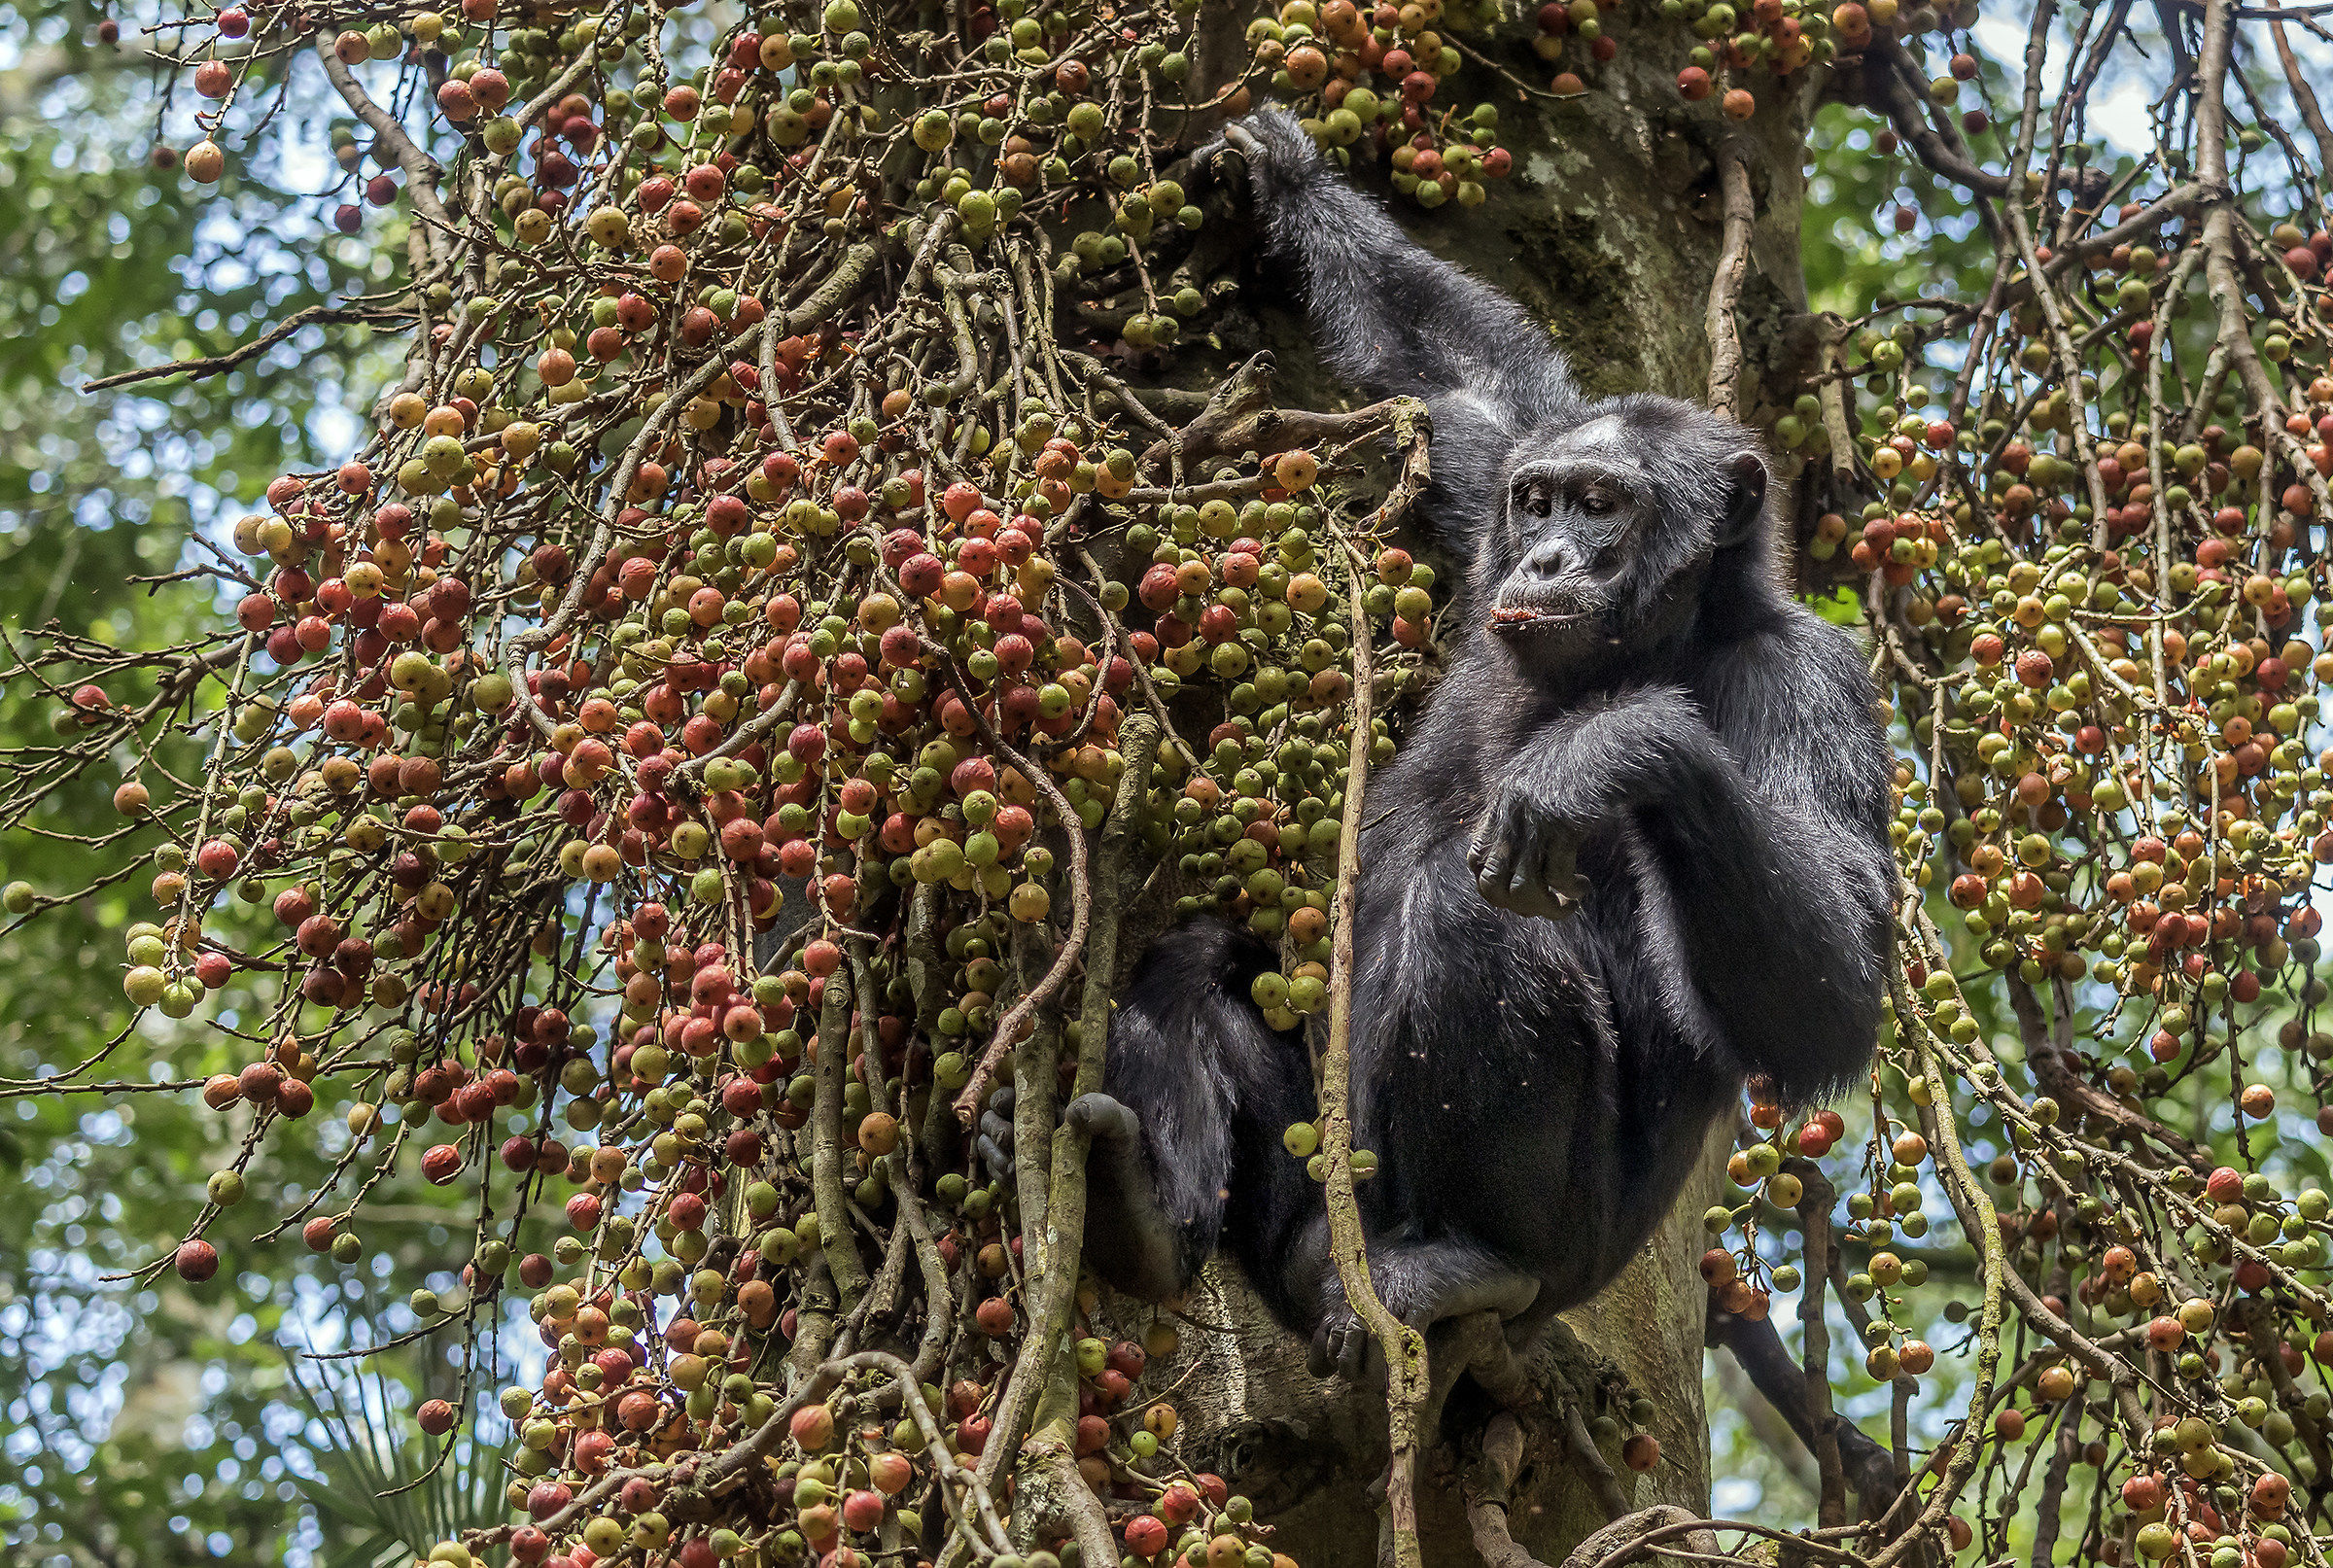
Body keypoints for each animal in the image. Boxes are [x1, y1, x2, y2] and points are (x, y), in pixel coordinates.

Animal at [1049, 106, 1903, 1501]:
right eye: (1541, 496)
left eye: (1605, 506)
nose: (1547, 554)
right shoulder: (1495, 457)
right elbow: (1475, 380)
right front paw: (1281, 174)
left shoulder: (1816, 683)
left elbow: (1833, 976)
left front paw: (1605, 752)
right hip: (1310, 1213)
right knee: (1206, 969)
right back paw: (1141, 1211)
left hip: (1564, 1255)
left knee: (1472, 918)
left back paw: (1459, 1260)